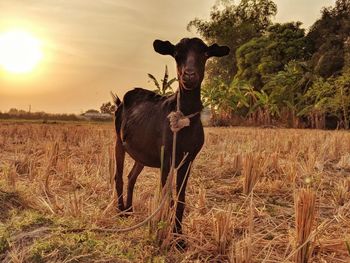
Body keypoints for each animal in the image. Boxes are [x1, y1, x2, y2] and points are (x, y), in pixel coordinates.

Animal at [114, 38, 230, 242]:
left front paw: (178, 236)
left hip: (141, 154)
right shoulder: (166, 158)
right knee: (119, 176)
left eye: (205, 54)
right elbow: (166, 196)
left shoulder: (188, 159)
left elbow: (181, 198)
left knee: (131, 177)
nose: (189, 75)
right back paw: (121, 212)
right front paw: (163, 233)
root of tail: (121, 102)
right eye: (176, 54)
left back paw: (129, 209)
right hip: (118, 142)